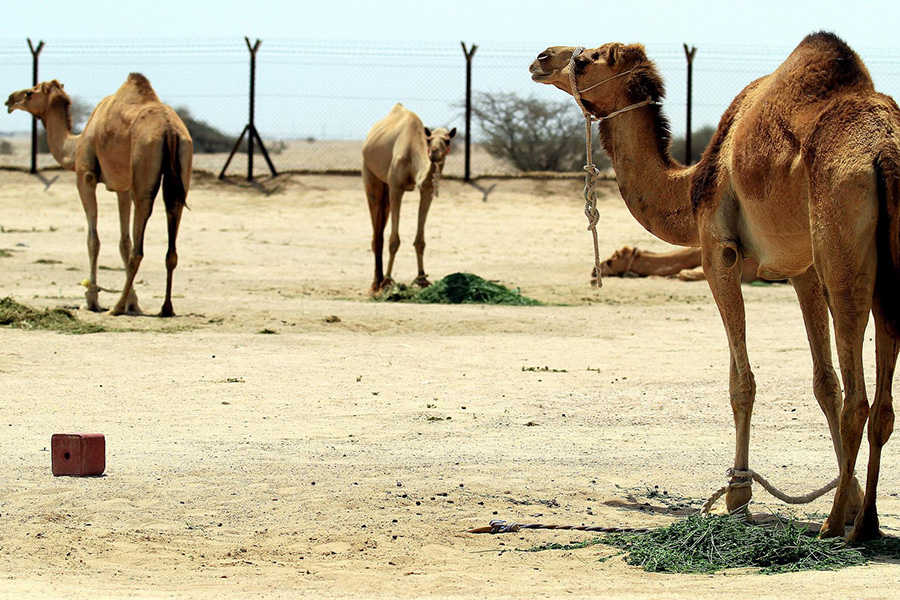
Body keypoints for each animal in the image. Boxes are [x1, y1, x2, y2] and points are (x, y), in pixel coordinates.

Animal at [5, 73, 192, 316]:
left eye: (30, 92)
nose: (10, 99)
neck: (74, 144)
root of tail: (169, 130)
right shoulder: (123, 187)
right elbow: (124, 242)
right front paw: (133, 301)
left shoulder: (86, 177)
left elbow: (93, 239)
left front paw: (91, 299)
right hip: (182, 164)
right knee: (172, 228)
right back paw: (166, 307)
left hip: (144, 169)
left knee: (140, 242)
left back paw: (117, 307)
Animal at [360, 104, 454, 294]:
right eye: (429, 139)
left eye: (447, 140)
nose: (434, 153)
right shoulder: (396, 187)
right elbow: (394, 240)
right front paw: (388, 281)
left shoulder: (426, 189)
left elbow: (420, 241)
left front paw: (422, 279)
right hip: (370, 172)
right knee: (376, 226)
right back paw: (376, 284)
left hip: (385, 187)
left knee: (382, 216)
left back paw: (378, 281)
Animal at [532, 31, 900, 544]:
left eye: (589, 59)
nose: (542, 58)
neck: (690, 188)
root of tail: (885, 151)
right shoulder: (801, 267)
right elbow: (823, 382)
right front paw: (846, 501)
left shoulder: (718, 252)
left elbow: (741, 382)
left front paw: (738, 498)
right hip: (881, 267)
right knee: (881, 402)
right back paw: (865, 520)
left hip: (841, 250)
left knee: (859, 397)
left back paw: (833, 528)